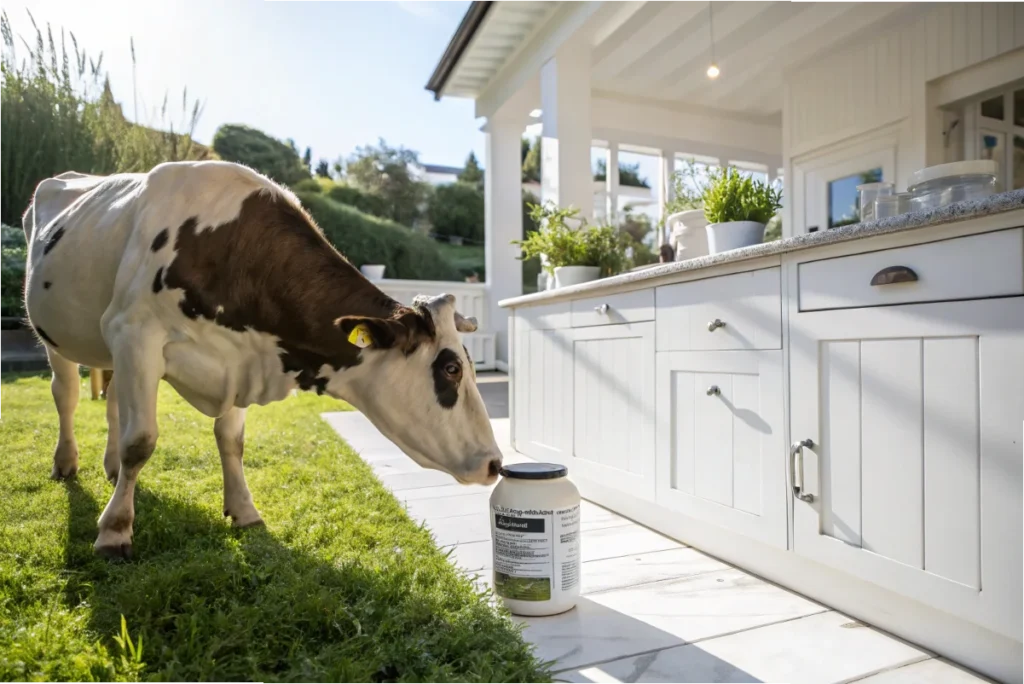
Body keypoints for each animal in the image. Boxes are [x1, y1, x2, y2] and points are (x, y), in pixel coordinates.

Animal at [24, 162, 503, 557]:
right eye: (451, 368)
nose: (496, 464)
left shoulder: (240, 357)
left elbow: (230, 441)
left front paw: (244, 510)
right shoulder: (135, 334)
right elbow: (140, 441)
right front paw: (114, 530)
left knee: (112, 402)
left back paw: (109, 469)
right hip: (59, 336)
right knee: (67, 394)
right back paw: (66, 463)